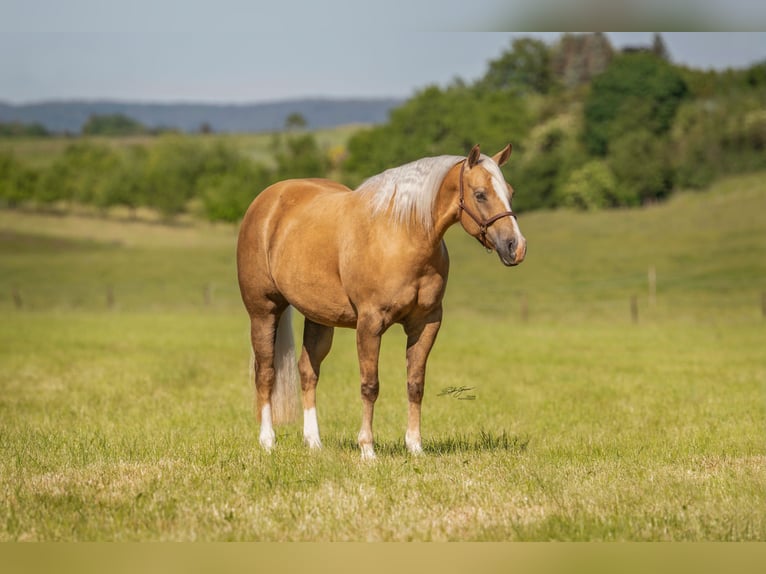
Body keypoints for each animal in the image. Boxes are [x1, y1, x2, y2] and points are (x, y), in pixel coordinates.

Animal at [236, 144, 526, 460]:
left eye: (510, 192)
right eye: (480, 194)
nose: (516, 247)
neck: (402, 235)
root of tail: (268, 200)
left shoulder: (426, 323)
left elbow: (415, 384)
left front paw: (415, 447)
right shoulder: (370, 324)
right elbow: (370, 385)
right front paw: (367, 450)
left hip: (319, 318)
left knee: (308, 372)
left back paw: (314, 442)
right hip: (263, 311)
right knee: (265, 372)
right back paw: (268, 441)